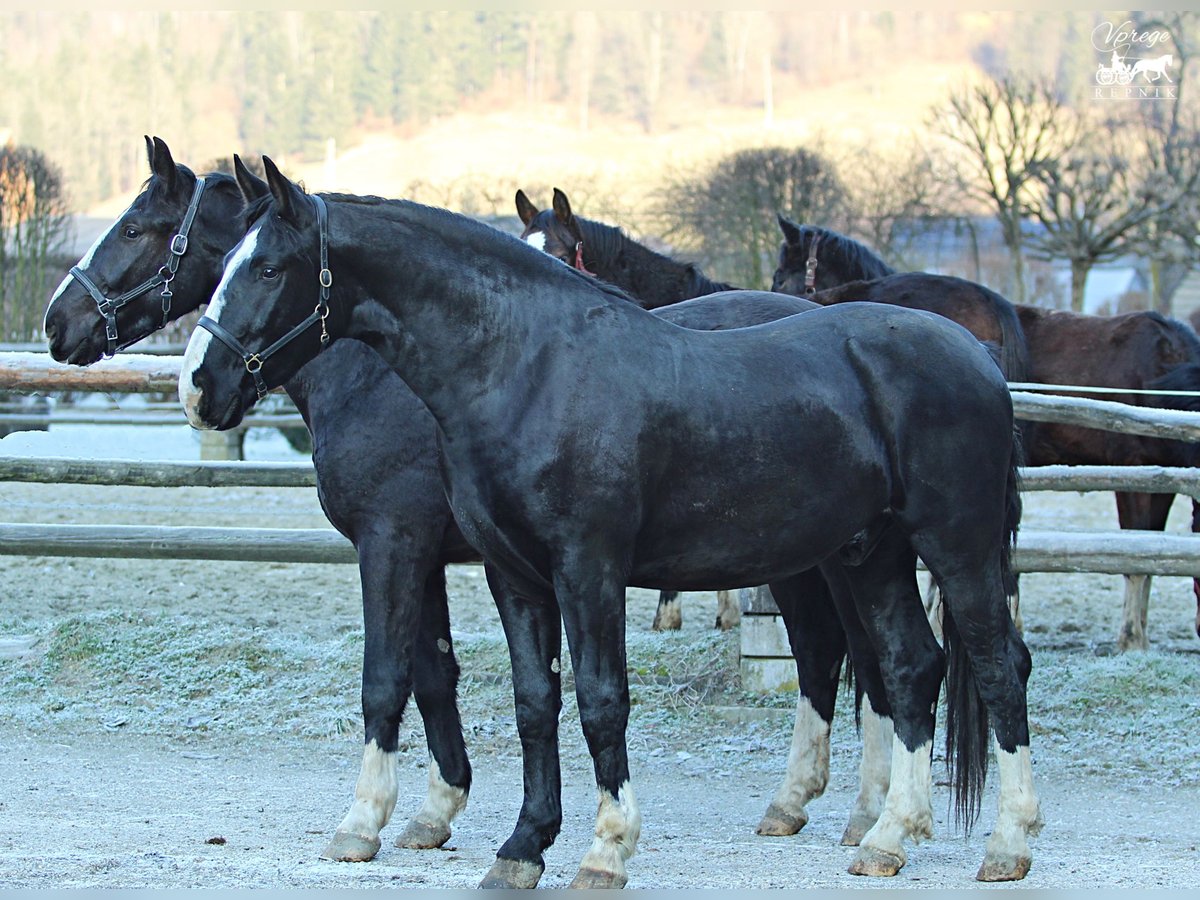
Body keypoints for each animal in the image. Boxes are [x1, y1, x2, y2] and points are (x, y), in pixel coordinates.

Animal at [39, 139, 864, 873]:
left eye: (138, 228)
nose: (57, 322)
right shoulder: (433, 554)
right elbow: (435, 674)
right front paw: (436, 813)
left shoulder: (391, 541)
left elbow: (386, 679)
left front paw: (365, 822)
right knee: (836, 656)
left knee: (834, 655)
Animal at [177, 160, 1041, 888]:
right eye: (220, 263)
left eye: (267, 267)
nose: (198, 385)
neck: (527, 368)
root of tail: (978, 358)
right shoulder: (513, 575)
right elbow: (535, 702)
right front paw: (523, 847)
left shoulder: (583, 567)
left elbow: (599, 701)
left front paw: (606, 848)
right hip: (873, 555)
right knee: (911, 668)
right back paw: (888, 836)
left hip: (955, 548)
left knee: (997, 667)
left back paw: (1007, 844)